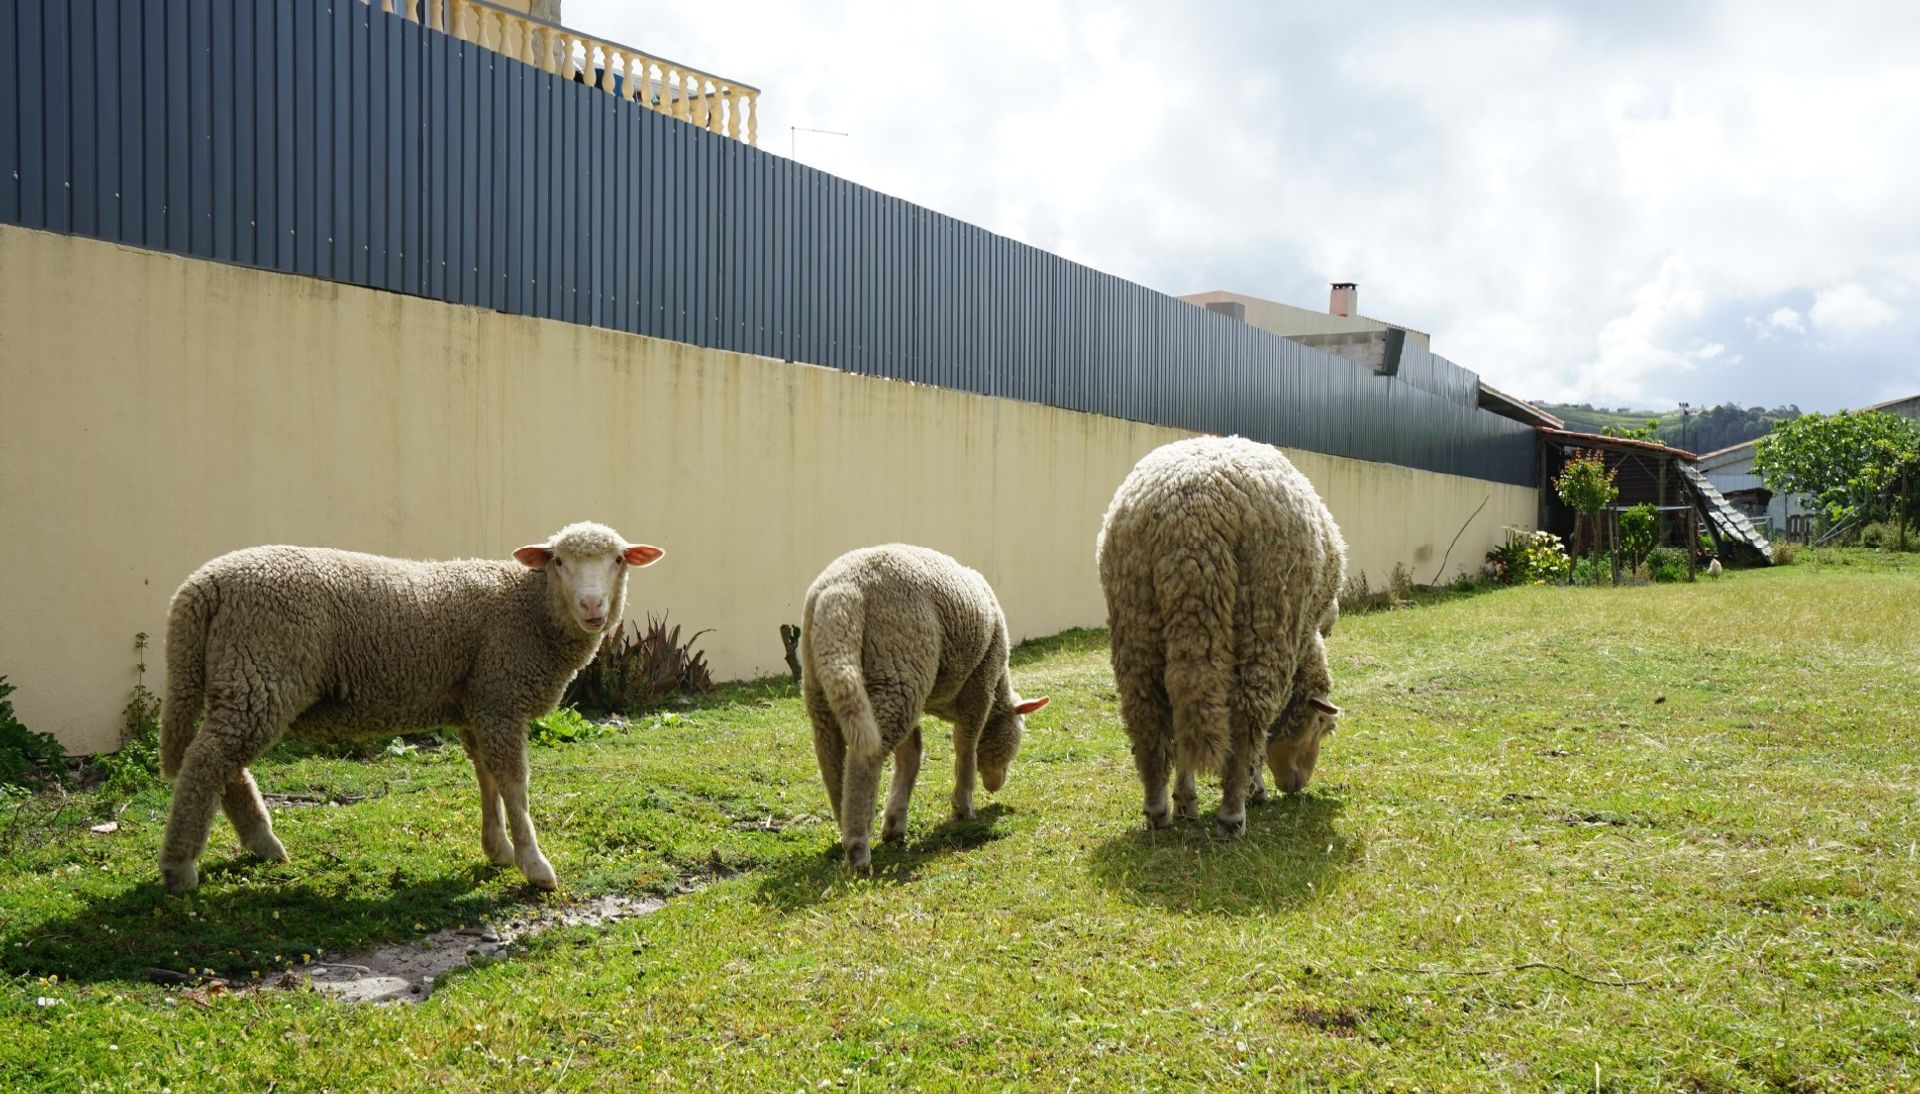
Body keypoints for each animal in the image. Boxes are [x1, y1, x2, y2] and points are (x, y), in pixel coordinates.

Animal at [153, 518, 660, 886]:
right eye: (557, 561)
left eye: (618, 559)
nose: (592, 607)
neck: (528, 608)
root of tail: (203, 584)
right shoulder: (500, 697)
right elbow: (514, 784)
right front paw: (534, 865)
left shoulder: (477, 701)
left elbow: (486, 778)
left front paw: (498, 849)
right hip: (261, 673)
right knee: (206, 760)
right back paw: (180, 867)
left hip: (244, 680)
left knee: (223, 763)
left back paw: (262, 843)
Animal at [802, 545, 1059, 867]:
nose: (996, 785)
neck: (1000, 686)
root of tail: (842, 590)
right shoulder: (980, 684)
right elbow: (966, 746)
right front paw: (963, 805)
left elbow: (911, 756)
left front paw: (895, 823)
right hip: (898, 668)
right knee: (865, 758)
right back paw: (857, 846)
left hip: (827, 679)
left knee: (829, 755)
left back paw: (843, 822)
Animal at [1098, 433, 1351, 832]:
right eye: (1323, 726)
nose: (1296, 786)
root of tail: (1190, 518)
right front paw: (1255, 789)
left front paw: (1186, 800)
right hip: (1263, 613)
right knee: (1248, 716)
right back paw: (1233, 815)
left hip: (1137, 613)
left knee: (1153, 709)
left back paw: (1158, 809)